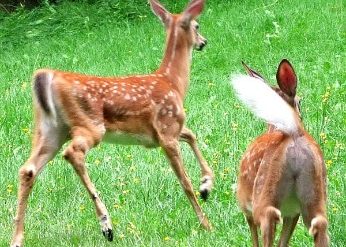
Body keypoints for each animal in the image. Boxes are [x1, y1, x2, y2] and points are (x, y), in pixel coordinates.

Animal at [10, 0, 212, 246]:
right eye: (197, 25)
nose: (203, 42)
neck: (173, 82)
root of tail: (47, 75)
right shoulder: (166, 130)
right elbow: (185, 182)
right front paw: (206, 223)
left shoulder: (162, 133)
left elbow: (192, 135)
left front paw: (206, 185)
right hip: (89, 124)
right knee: (72, 153)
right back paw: (106, 225)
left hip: (50, 130)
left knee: (28, 169)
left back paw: (17, 238)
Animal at [231, 60, 328, 247]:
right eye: (299, 102)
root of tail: (295, 133)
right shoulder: (292, 211)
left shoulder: (245, 204)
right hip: (314, 193)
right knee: (320, 223)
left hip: (265, 190)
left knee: (268, 216)